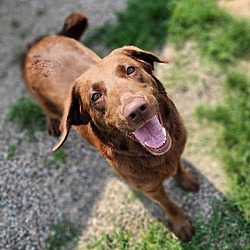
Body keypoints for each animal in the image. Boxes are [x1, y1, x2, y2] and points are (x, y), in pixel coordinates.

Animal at [23, 12, 199, 242]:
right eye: (95, 96)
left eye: (130, 69)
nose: (136, 110)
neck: (155, 157)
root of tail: (39, 42)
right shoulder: (150, 189)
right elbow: (169, 205)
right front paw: (181, 224)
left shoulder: (176, 152)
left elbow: (178, 167)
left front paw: (186, 180)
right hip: (39, 98)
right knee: (47, 111)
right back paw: (53, 123)